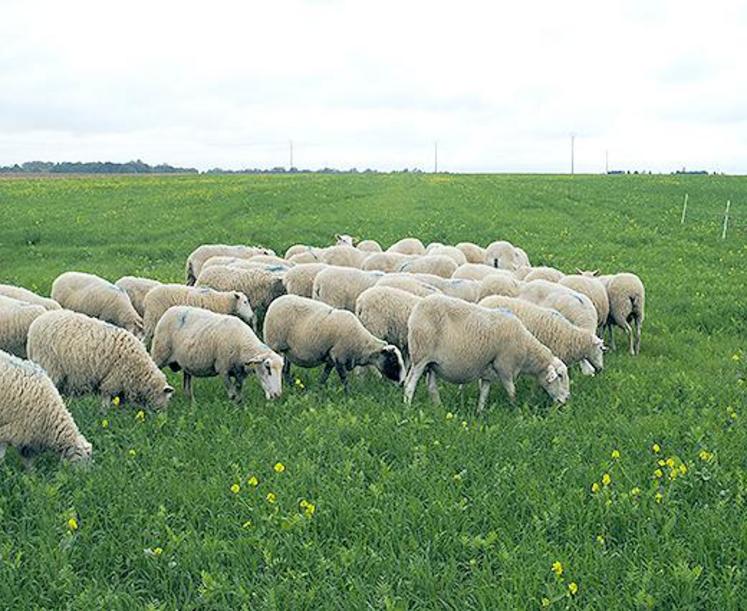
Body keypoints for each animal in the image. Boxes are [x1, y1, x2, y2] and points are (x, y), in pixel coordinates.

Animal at [27, 310, 174, 412]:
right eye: (165, 398)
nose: (161, 414)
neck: (140, 370)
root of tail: (34, 325)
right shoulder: (115, 377)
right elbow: (107, 393)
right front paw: (105, 409)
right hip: (49, 363)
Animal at [150, 306, 284, 402]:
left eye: (281, 369)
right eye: (267, 367)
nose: (278, 394)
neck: (243, 345)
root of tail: (169, 310)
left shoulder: (240, 374)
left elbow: (238, 393)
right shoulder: (223, 369)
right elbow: (232, 394)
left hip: (185, 361)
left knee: (187, 380)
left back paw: (191, 401)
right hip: (159, 354)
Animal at [262, 296, 404, 392]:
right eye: (393, 362)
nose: (402, 383)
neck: (361, 345)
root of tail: (275, 302)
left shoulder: (331, 358)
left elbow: (324, 376)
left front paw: (318, 391)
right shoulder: (339, 357)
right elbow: (344, 378)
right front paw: (348, 395)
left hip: (287, 349)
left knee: (286, 369)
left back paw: (291, 386)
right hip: (274, 344)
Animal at [404, 296, 572, 412]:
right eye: (560, 376)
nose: (566, 399)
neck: (526, 349)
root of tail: (416, 310)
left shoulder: (487, 373)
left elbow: (484, 395)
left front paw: (480, 413)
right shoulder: (505, 367)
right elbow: (512, 392)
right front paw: (515, 410)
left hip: (432, 364)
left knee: (432, 387)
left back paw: (439, 410)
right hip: (420, 355)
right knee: (409, 384)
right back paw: (408, 408)